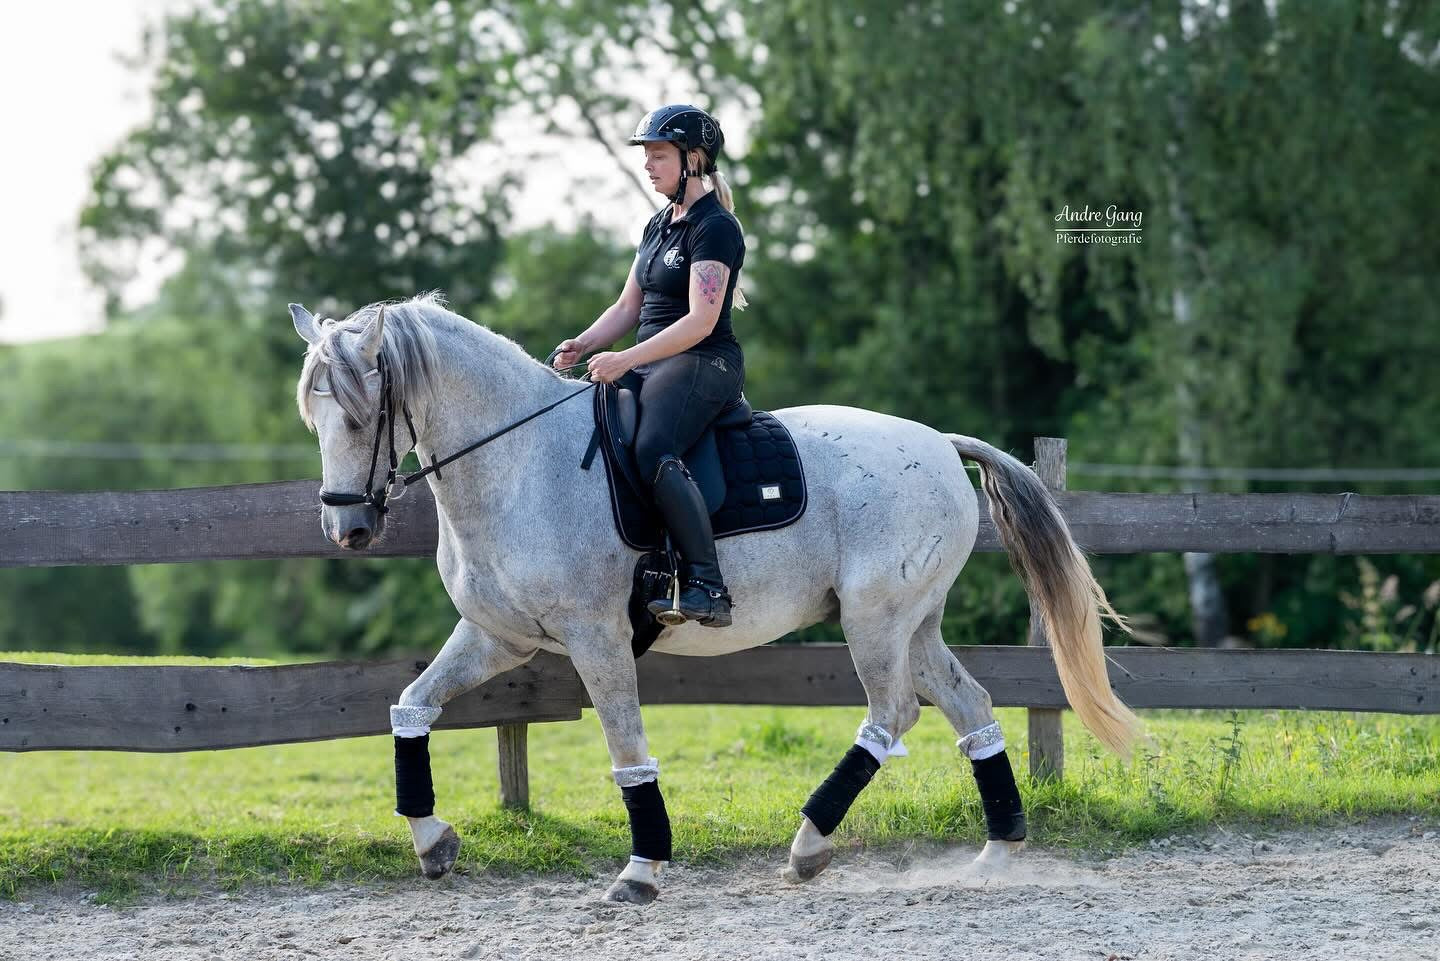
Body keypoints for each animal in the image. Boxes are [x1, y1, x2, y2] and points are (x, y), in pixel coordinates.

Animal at [290, 293, 1145, 904]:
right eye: (313, 416)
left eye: (360, 415)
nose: (347, 526)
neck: (519, 463)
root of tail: (940, 442)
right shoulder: (497, 636)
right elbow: (411, 705)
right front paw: (433, 841)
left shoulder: (596, 637)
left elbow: (627, 750)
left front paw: (642, 869)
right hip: (914, 622)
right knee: (970, 706)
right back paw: (996, 850)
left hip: (875, 618)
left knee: (891, 713)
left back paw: (808, 845)